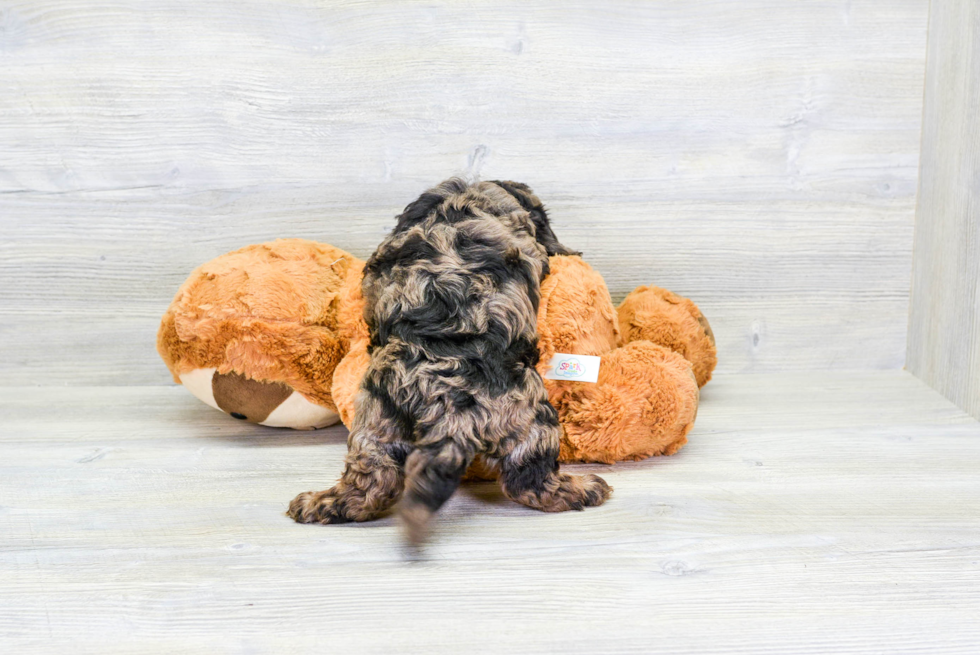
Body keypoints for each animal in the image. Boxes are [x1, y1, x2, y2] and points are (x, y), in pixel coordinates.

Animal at [288, 178, 612, 544]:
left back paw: (323, 505)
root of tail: (445, 401)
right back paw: (584, 489)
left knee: (371, 482)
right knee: (529, 478)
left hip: (377, 418)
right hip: (531, 414)